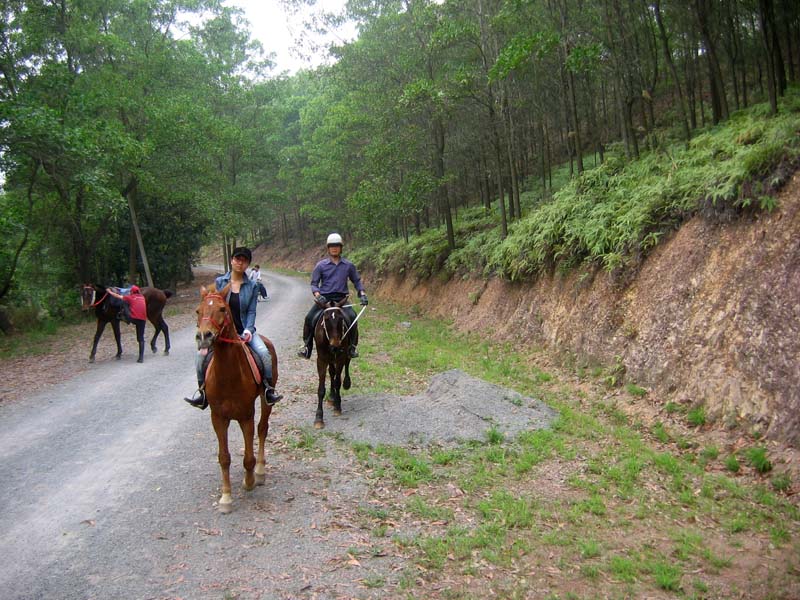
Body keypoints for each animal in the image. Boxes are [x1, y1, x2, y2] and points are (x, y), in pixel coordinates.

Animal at [195, 284, 278, 512]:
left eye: (223, 309)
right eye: (198, 311)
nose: (204, 336)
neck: (228, 375)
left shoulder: (245, 415)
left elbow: (248, 457)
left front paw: (249, 482)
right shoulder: (218, 418)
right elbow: (224, 458)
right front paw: (226, 497)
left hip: (266, 399)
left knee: (262, 429)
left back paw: (260, 472)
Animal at [312, 296, 354, 428]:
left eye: (341, 318)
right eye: (326, 319)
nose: (335, 346)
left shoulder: (340, 357)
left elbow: (337, 382)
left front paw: (337, 406)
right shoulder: (321, 360)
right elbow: (321, 389)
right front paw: (319, 418)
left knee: (346, 364)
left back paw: (346, 384)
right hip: (330, 359)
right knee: (331, 372)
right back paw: (331, 396)